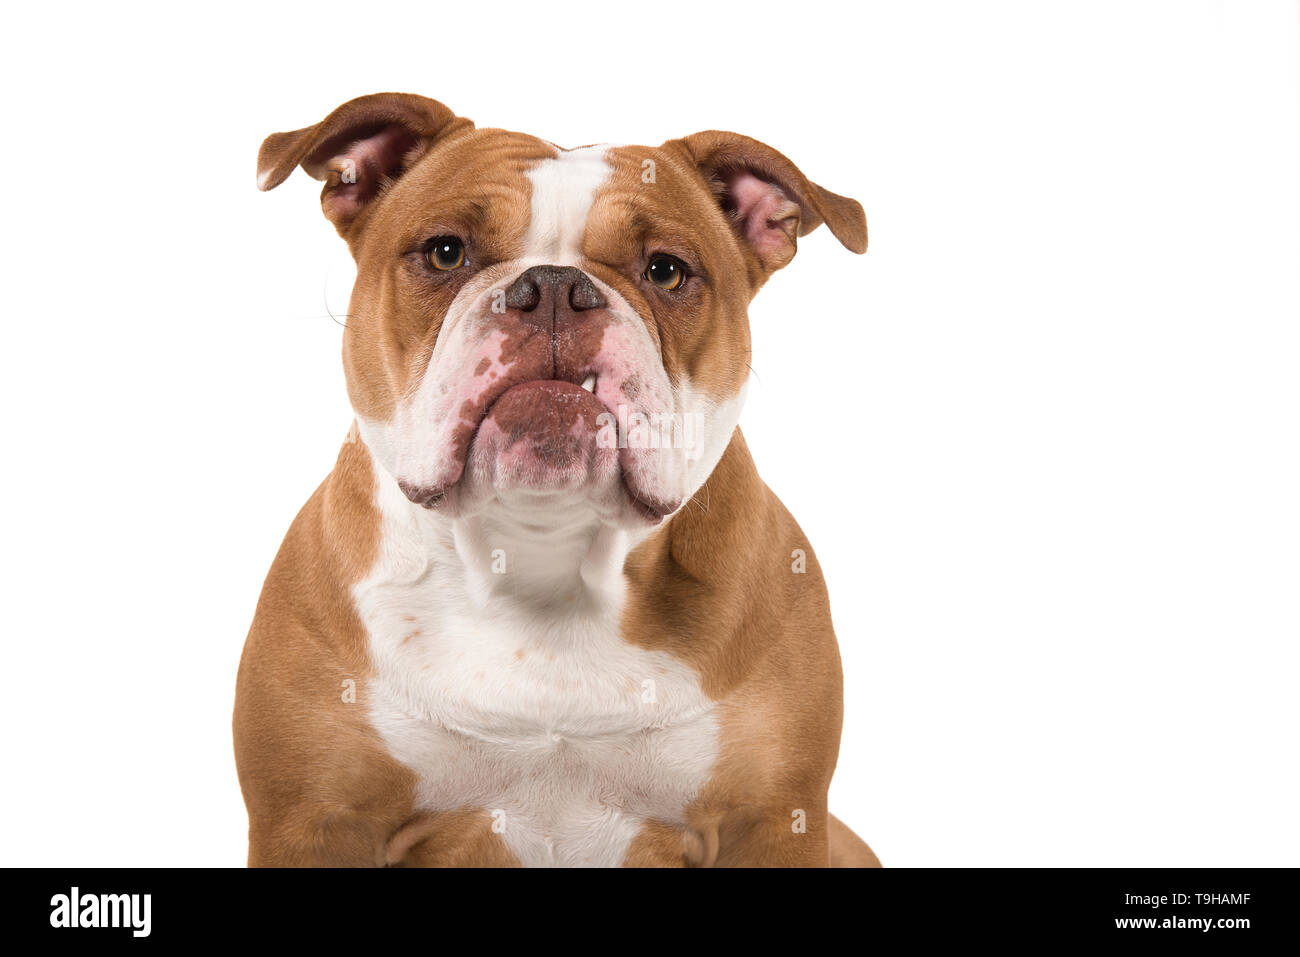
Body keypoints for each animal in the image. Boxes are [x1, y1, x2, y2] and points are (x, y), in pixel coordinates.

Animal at [236, 91, 883, 868]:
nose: (551, 287)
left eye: (666, 270)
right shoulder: (313, 821)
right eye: (446, 251)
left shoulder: (772, 820)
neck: (543, 552)